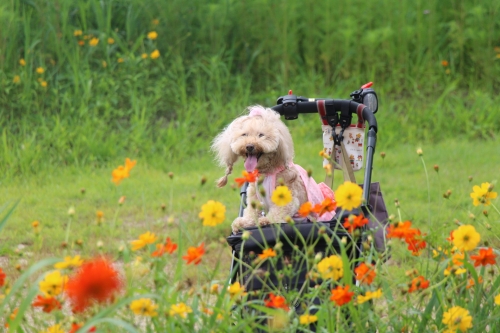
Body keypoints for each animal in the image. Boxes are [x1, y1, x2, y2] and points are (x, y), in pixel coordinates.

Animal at [213, 104, 334, 233]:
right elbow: (251, 212)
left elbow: (279, 211)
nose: (249, 146)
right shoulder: (254, 197)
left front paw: (266, 221)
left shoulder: (287, 196)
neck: (266, 172)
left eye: (261, 135)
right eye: (244, 135)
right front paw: (243, 223)